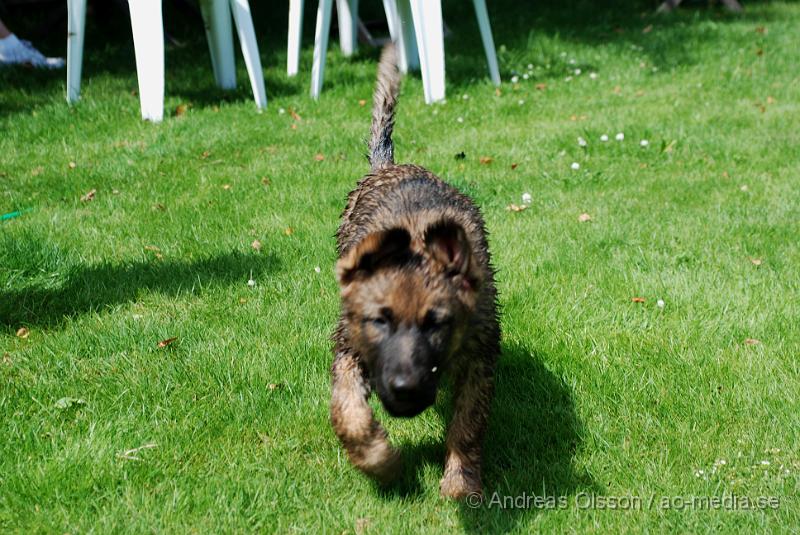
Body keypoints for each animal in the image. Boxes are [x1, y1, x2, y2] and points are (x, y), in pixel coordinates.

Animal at [328, 45, 496, 498]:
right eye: (379, 322)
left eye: (436, 323)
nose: (405, 390)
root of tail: (387, 166)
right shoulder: (349, 347)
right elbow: (346, 410)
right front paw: (378, 461)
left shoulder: (478, 356)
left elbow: (468, 424)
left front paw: (460, 481)